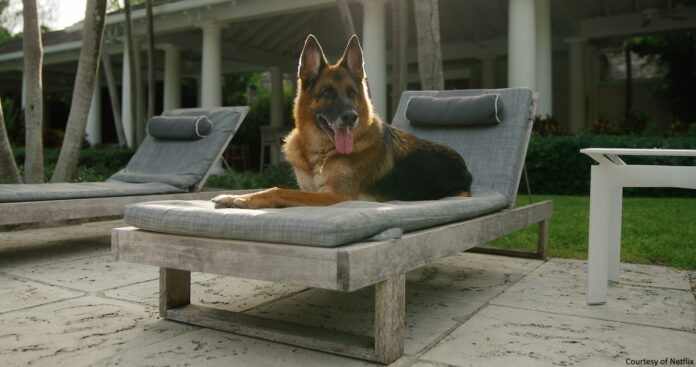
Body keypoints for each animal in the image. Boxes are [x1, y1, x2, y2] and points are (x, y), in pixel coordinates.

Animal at [213, 36, 474, 211]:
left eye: (351, 93)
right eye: (327, 93)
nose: (351, 116)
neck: (319, 152)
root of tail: (466, 169)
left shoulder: (336, 196)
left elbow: (279, 190)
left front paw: (243, 199)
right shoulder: (310, 190)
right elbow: (279, 189)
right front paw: (231, 196)